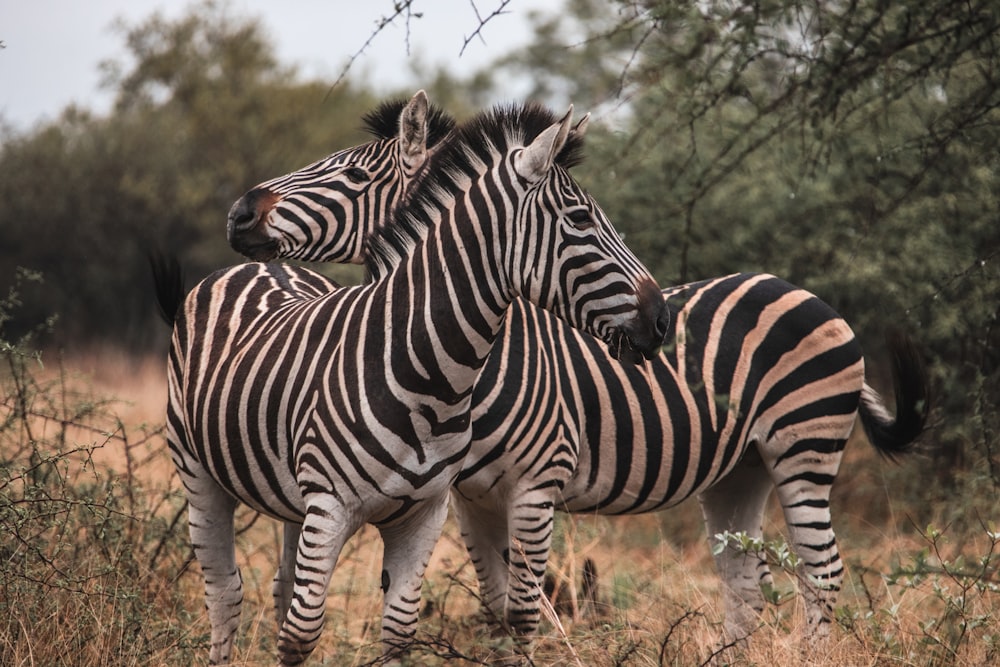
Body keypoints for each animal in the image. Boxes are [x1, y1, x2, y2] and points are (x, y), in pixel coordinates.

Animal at [160, 102, 668, 664]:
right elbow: (302, 633)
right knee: (226, 592)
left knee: (277, 586)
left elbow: (400, 629)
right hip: (198, 472)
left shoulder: (428, 512)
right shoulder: (333, 505)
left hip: (292, 500)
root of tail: (247, 270)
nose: (662, 318)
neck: (431, 378)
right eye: (580, 220)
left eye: (355, 174)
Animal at [227, 102, 928, 648]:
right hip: (741, 469)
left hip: (805, 446)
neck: (476, 366)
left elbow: (523, 611)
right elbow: (495, 606)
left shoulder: (537, 483)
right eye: (583, 220)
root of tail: (804, 292)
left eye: (350, 173)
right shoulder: (468, 497)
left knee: (822, 572)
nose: (238, 214)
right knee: (745, 579)